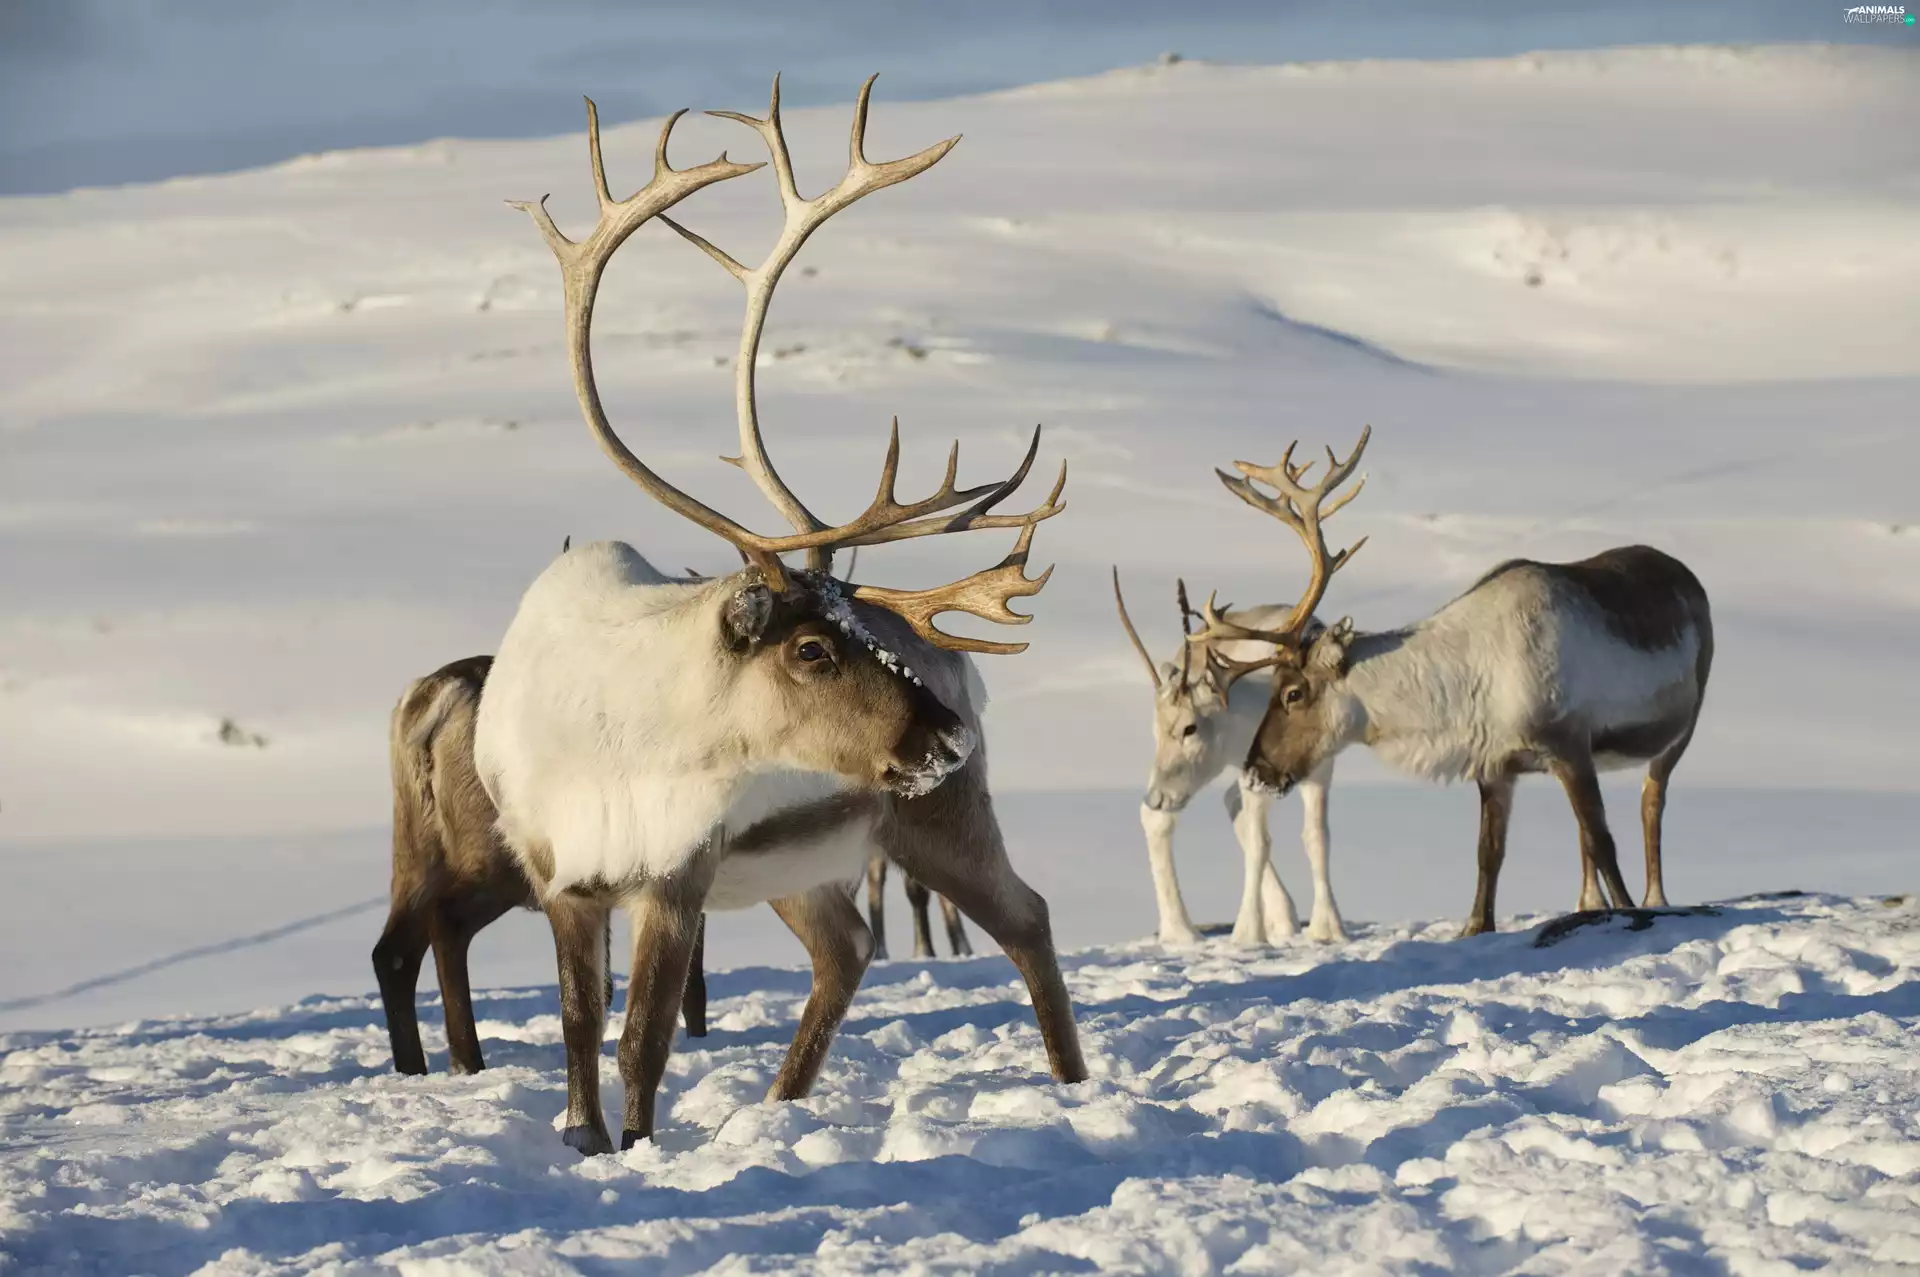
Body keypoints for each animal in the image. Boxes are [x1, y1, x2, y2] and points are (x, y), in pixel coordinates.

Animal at [472, 77, 1087, 1155]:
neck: (631, 732)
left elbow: (642, 1043)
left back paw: (1071, 1086)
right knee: (846, 948)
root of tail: (963, 662)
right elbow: (580, 1028)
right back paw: (778, 1102)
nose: (947, 736)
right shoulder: (562, 878)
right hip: (806, 866)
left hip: (938, 823)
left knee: (1027, 918)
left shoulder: (675, 875)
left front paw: (638, 1148)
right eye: (809, 647)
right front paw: (586, 1138)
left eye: (854, 631)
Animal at [1112, 570, 1345, 948]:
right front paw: (1248, 933)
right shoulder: (1254, 771)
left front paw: (1329, 929)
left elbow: (1317, 837)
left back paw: (1283, 918)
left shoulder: (1321, 769)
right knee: (1162, 819)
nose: (1158, 795)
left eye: (1190, 727)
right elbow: (1260, 843)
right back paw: (1182, 930)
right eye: (1159, 729)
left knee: (1226, 804)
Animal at [1197, 426, 1714, 938]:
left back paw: (1655, 898)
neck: (1465, 682)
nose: (1257, 771)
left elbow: (1604, 842)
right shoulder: (1496, 766)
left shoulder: (1568, 743)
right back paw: (1588, 903)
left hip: (1681, 729)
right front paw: (1475, 927)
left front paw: (1630, 912)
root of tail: (1688, 576)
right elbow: (1489, 856)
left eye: (1294, 692)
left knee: (1650, 805)